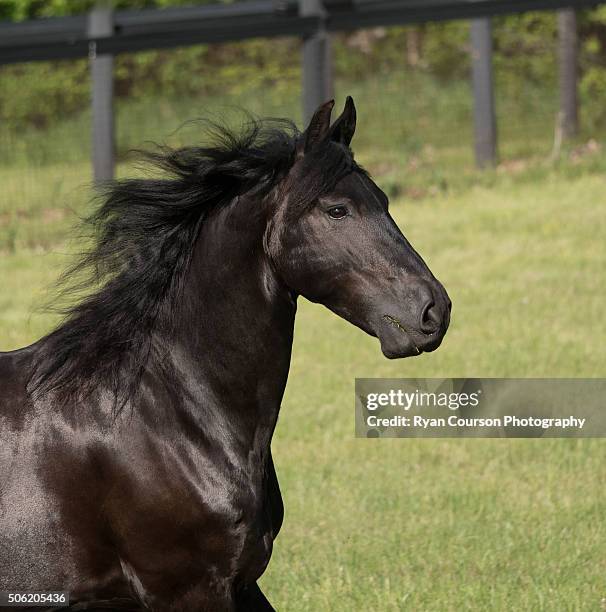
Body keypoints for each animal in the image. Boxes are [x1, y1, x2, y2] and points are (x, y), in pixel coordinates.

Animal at [1, 98, 452, 608]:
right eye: (337, 210)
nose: (433, 310)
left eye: (384, 200)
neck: (157, 412)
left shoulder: (242, 583)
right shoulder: (188, 590)